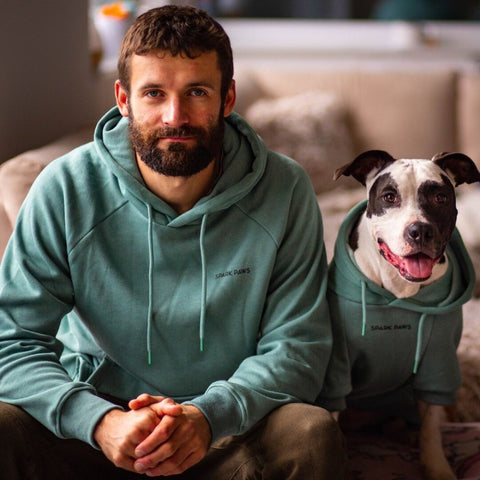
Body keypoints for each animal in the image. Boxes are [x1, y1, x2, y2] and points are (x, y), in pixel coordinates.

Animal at [326, 151, 480, 480]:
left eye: (440, 197)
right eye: (389, 196)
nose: (419, 230)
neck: (401, 291)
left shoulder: (438, 364)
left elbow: (432, 426)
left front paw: (437, 467)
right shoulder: (336, 365)